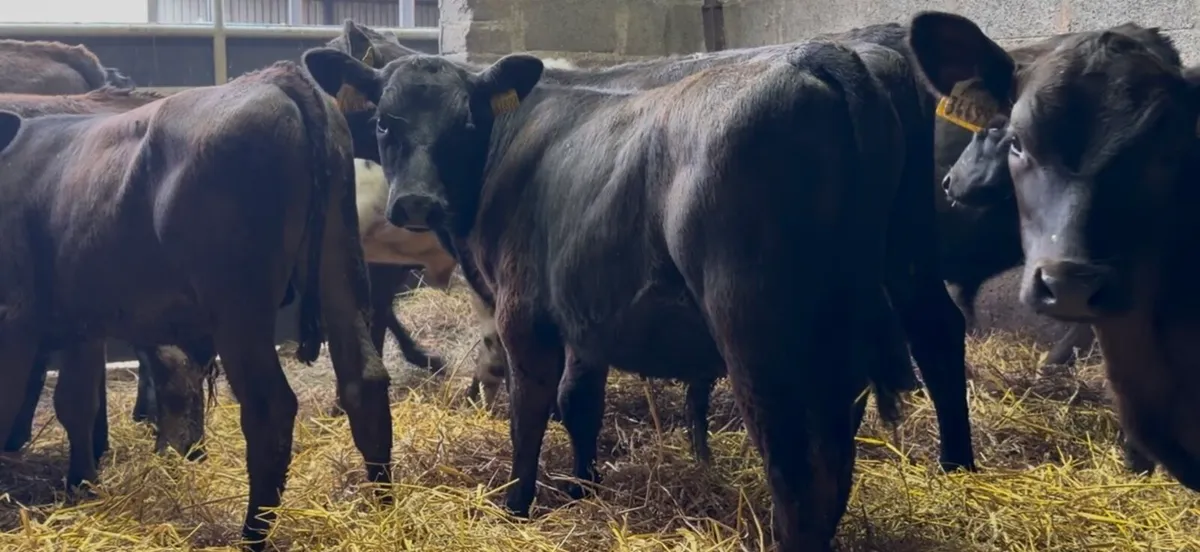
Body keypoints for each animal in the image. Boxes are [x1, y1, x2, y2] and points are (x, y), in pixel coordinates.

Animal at [0, 61, 392, 550]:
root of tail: (276, 78)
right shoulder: (82, 323)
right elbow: (75, 402)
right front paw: (81, 485)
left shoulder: (16, 316)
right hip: (337, 265)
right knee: (365, 380)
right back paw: (383, 506)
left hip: (238, 307)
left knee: (270, 408)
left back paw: (253, 533)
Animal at [303, 37, 933, 550]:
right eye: (386, 122)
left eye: (466, 124)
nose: (418, 203)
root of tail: (815, 56)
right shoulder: (589, 318)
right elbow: (579, 405)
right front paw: (583, 489)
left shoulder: (524, 315)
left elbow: (528, 414)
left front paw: (516, 505)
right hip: (844, 332)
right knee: (833, 459)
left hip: (754, 329)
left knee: (795, 467)